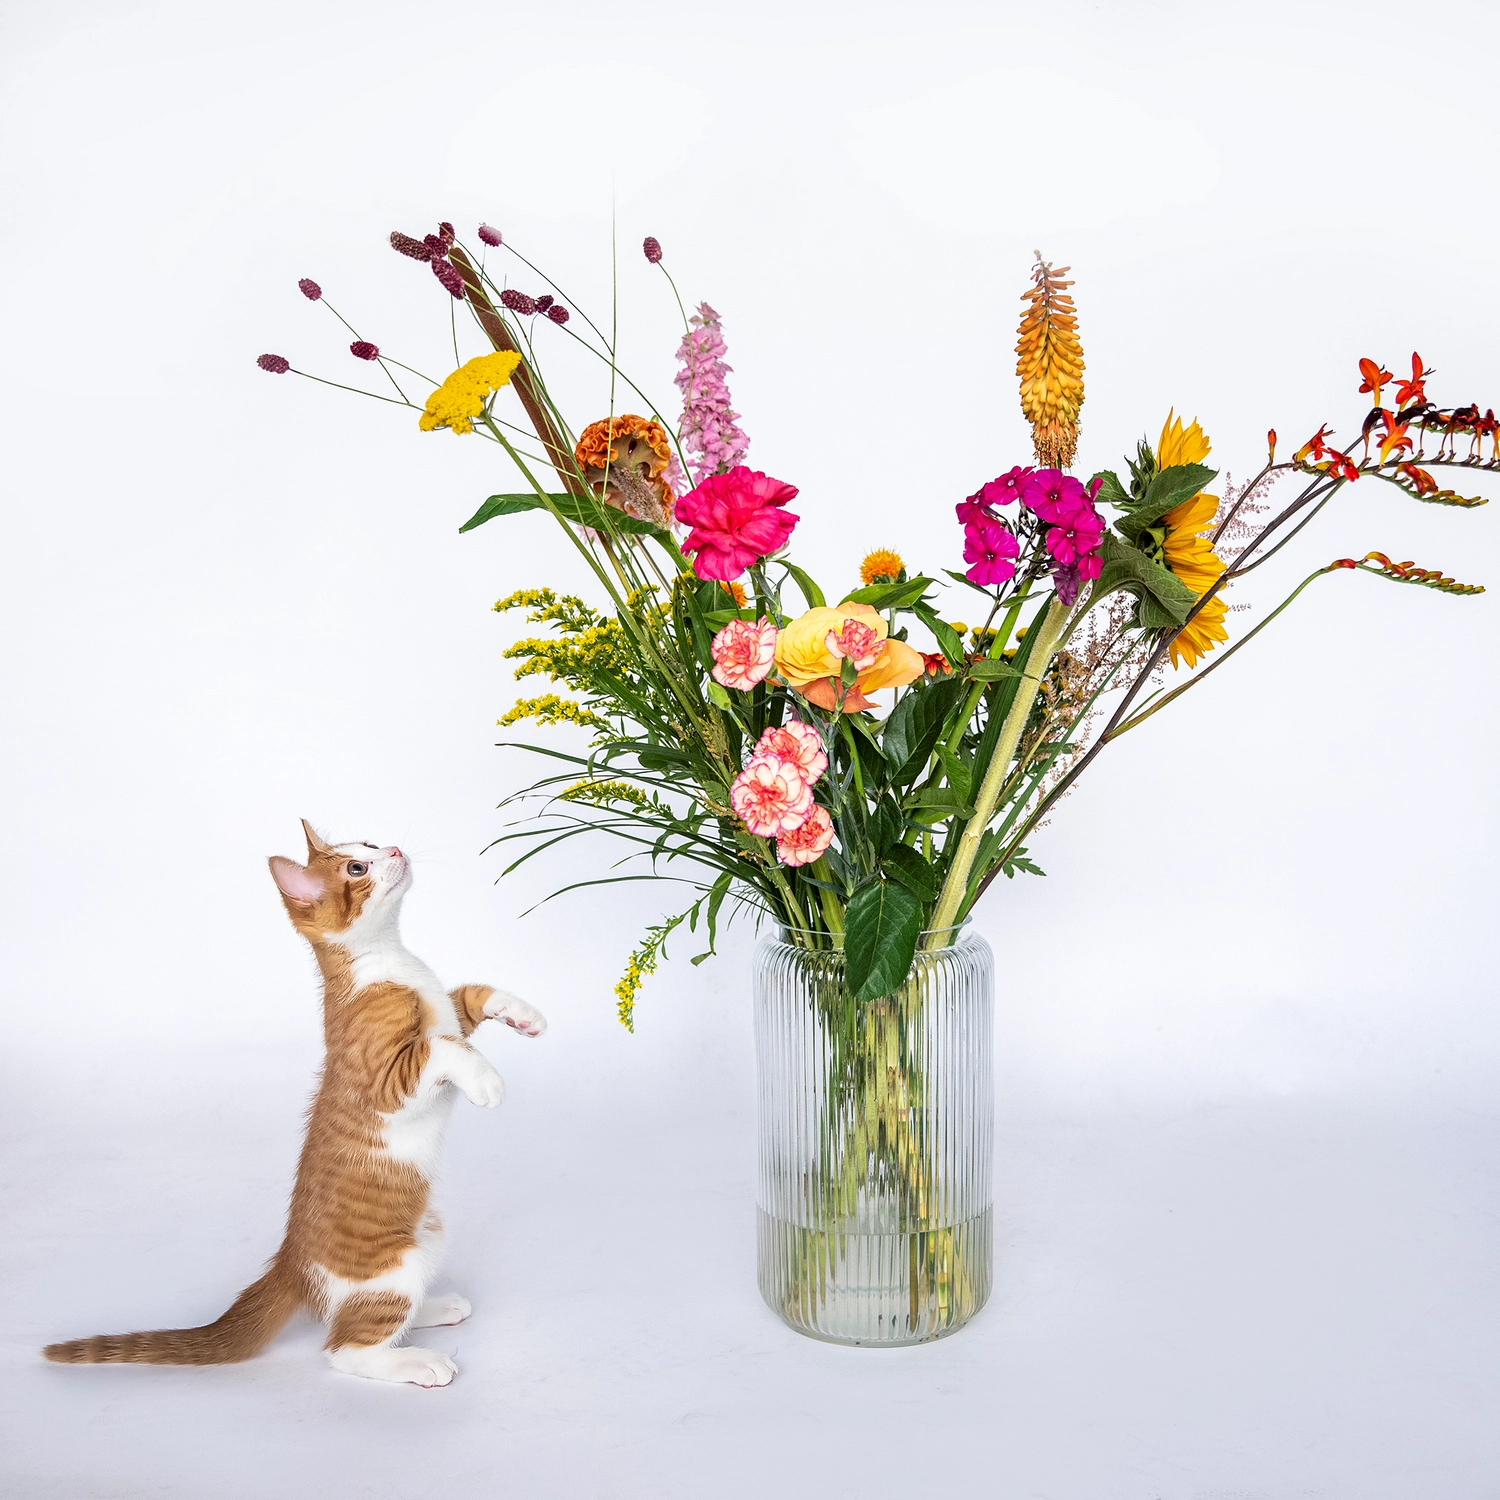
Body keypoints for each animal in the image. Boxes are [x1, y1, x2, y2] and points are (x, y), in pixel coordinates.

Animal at [44, 820, 546, 1388]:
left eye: (371, 843)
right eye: (357, 867)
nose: (394, 848)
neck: (391, 961)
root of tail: (290, 1262)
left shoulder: (449, 1011)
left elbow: (469, 999)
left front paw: (525, 1014)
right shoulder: (387, 1076)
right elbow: (444, 1046)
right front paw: (486, 1080)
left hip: (430, 1234)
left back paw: (435, 1308)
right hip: (395, 1266)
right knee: (345, 1347)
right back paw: (417, 1361)